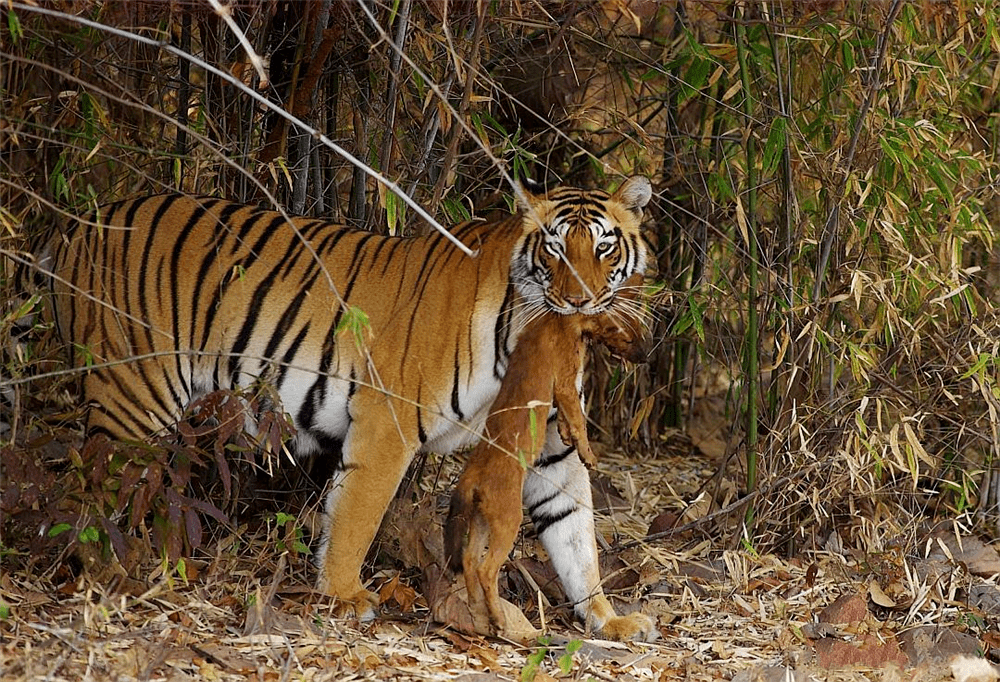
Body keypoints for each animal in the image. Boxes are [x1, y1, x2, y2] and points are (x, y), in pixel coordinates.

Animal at [39, 174, 660, 636]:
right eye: (554, 248)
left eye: (603, 247)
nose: (578, 300)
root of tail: (79, 222)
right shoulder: (388, 421)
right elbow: (357, 513)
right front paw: (343, 596)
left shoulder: (552, 447)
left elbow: (576, 535)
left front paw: (608, 618)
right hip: (133, 393)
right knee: (92, 491)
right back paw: (111, 578)